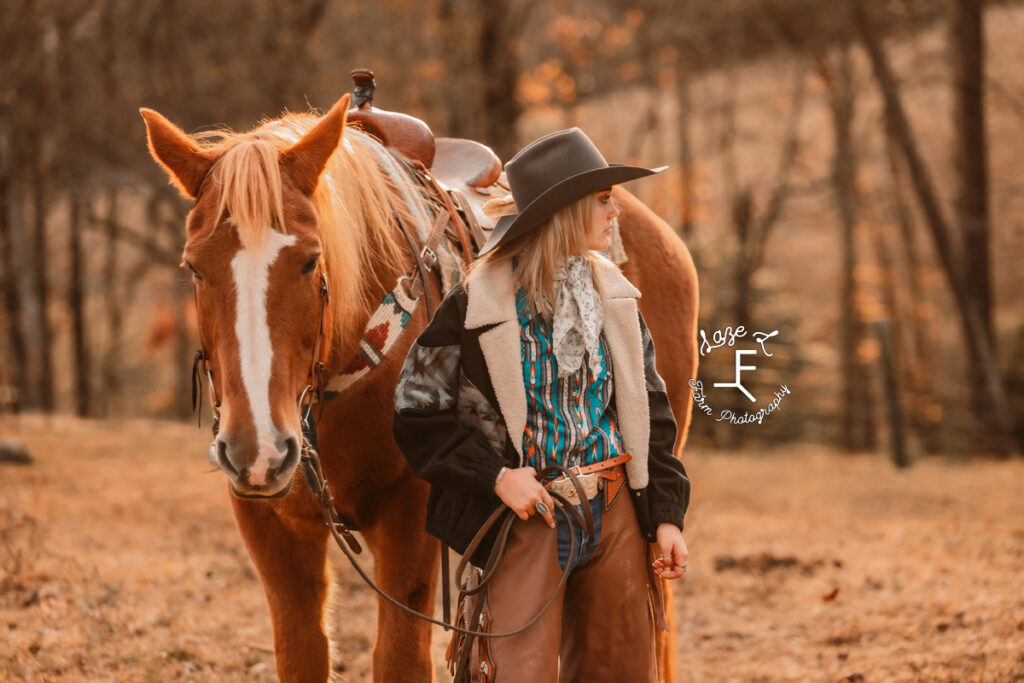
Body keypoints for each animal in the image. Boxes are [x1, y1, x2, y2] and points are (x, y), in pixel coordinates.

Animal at [140, 93, 700, 679]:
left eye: (311, 260)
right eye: (194, 267)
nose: (258, 451)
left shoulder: (407, 522)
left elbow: (400, 659)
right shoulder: (271, 528)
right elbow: (303, 653)